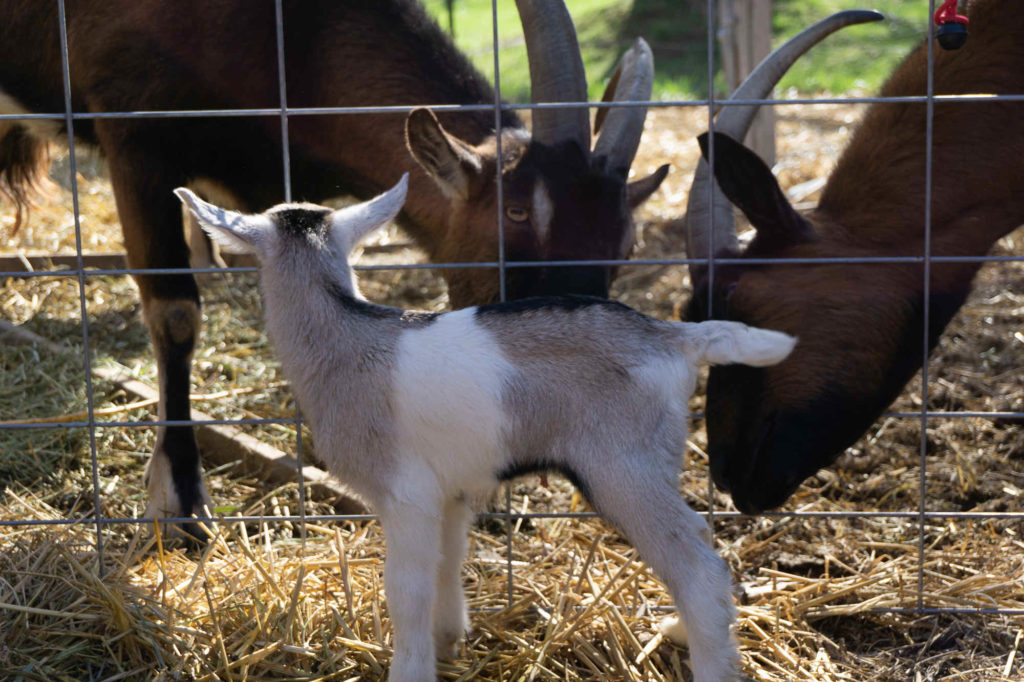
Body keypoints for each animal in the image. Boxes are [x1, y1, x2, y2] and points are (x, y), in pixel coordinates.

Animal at [0, 0, 666, 533]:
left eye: (625, 245)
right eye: (519, 211)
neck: (288, 38)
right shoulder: (133, 134)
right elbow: (174, 315)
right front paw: (181, 500)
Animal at [175, 176, 795, 682]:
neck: (346, 335)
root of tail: (674, 338)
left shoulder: (405, 493)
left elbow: (406, 589)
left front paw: (411, 668)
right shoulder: (449, 489)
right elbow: (449, 561)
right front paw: (449, 641)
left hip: (622, 466)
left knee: (696, 566)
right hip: (650, 461)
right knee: (700, 545)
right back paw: (680, 631)